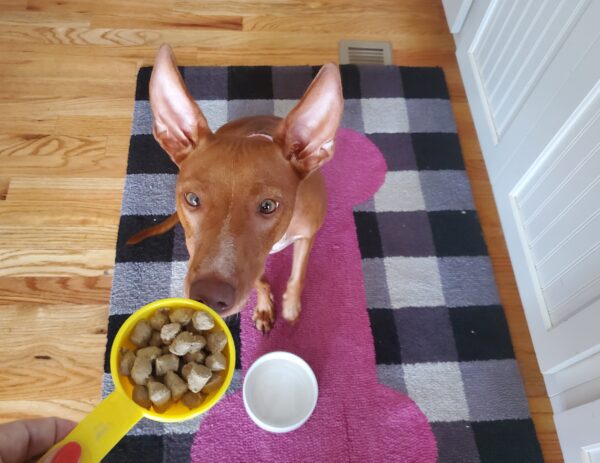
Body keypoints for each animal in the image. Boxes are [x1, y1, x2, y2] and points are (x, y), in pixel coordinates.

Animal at [127, 45, 342, 332]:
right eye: (192, 199)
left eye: (268, 205)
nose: (209, 296)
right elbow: (260, 280)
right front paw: (264, 307)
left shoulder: (307, 235)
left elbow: (297, 276)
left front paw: (291, 307)